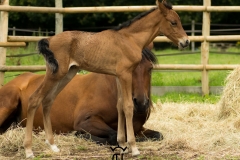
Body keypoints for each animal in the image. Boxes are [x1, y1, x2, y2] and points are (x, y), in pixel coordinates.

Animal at [0, 47, 162, 145]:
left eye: (149, 68)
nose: (141, 103)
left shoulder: (138, 128)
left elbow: (157, 135)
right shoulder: (85, 121)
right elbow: (113, 135)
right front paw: (79, 135)